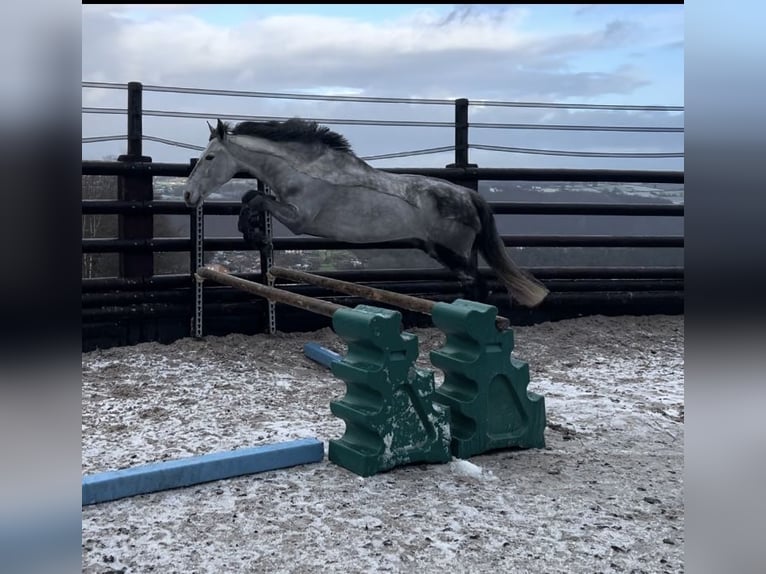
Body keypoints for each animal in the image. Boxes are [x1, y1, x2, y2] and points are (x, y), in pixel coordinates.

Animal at [183, 118, 548, 310]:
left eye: (210, 157)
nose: (188, 195)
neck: (304, 168)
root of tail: (470, 196)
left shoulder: (300, 220)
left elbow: (255, 198)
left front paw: (257, 236)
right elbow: (252, 196)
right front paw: (256, 236)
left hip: (452, 252)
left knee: (480, 287)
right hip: (443, 251)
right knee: (474, 286)